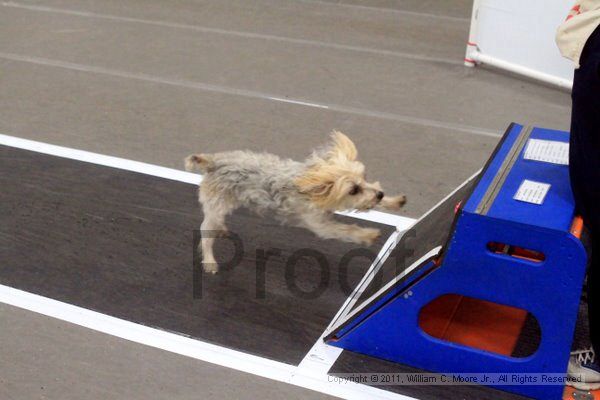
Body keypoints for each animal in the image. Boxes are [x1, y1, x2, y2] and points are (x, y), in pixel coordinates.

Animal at [185, 133, 406, 274]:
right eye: (353, 190)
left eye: (364, 177)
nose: (380, 194)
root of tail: (214, 161)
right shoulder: (322, 226)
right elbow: (347, 230)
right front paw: (368, 235)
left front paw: (392, 201)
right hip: (217, 204)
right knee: (205, 231)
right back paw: (209, 260)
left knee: (214, 223)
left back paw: (221, 229)